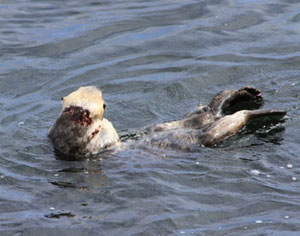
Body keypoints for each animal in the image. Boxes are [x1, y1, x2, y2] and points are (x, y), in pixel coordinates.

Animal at [48, 85, 286, 159]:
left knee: (211, 107)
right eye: (102, 104)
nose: (98, 89)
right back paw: (267, 112)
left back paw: (245, 93)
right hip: (204, 135)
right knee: (225, 122)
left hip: (196, 116)